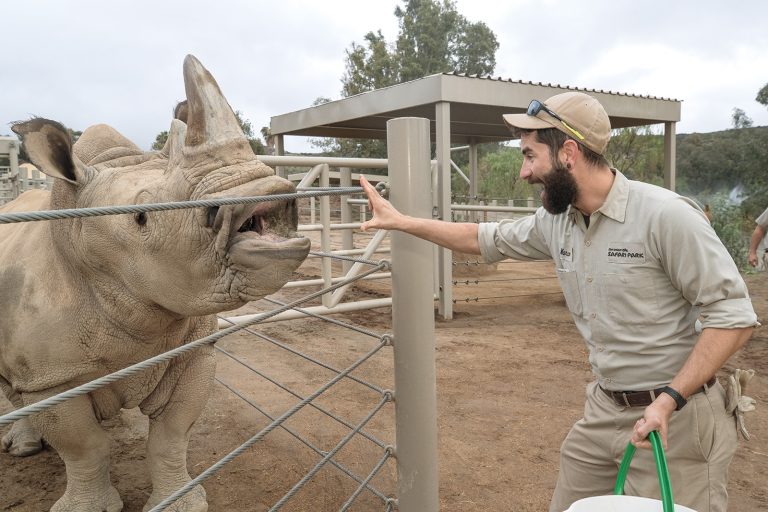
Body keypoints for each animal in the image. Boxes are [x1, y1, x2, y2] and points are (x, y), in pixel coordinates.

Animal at [0, 55, 310, 511]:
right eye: (141, 217)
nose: (264, 194)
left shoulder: (193, 352)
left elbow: (170, 438)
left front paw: (183, 503)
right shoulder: (49, 377)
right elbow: (84, 447)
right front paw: (88, 508)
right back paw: (23, 447)